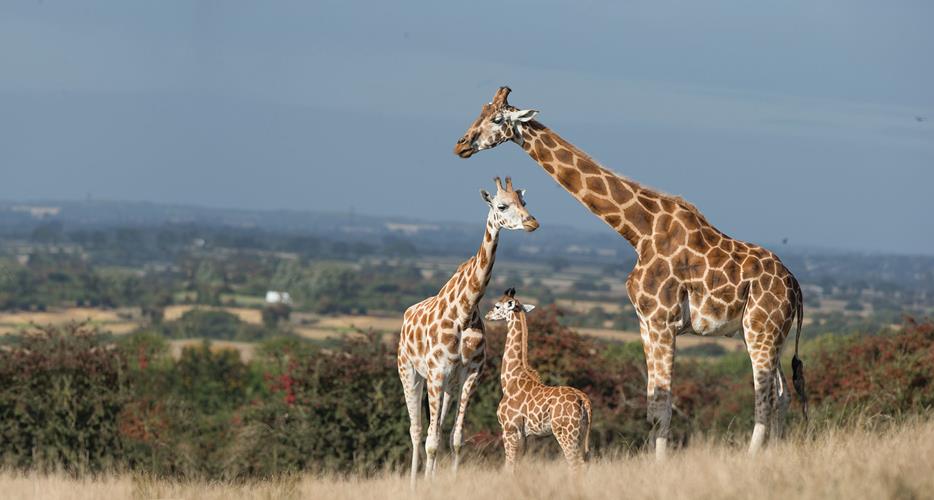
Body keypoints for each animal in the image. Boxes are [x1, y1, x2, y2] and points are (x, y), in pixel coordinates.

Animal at [482, 290, 592, 472]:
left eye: (497, 306)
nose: (487, 315)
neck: (510, 380)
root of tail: (584, 401)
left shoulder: (509, 429)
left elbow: (509, 467)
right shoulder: (525, 436)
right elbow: (517, 467)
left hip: (565, 432)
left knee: (576, 465)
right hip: (582, 434)